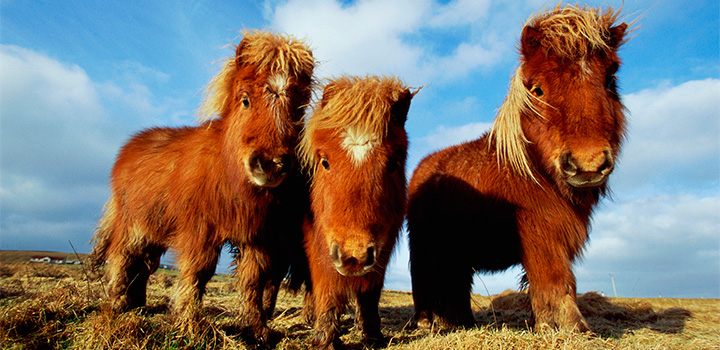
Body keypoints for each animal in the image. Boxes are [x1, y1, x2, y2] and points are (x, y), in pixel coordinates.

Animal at [88, 31, 314, 340]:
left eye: (299, 110)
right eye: (245, 100)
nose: (270, 163)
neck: (228, 173)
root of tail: (129, 147)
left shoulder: (257, 236)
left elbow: (254, 280)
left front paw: (256, 329)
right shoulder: (200, 230)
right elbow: (198, 272)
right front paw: (190, 324)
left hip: (155, 230)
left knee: (144, 264)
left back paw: (138, 305)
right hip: (134, 225)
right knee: (122, 257)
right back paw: (118, 305)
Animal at [294, 76, 414, 348]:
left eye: (393, 163)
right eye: (325, 162)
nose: (354, 257)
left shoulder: (381, 249)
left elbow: (370, 294)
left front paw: (372, 335)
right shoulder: (319, 245)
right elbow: (326, 289)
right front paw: (325, 338)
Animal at [408, 6, 628, 334]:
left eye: (610, 80)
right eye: (537, 89)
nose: (588, 164)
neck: (533, 171)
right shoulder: (540, 234)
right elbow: (555, 279)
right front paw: (569, 327)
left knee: (455, 284)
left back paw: (462, 323)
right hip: (426, 246)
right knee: (425, 280)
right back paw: (427, 323)